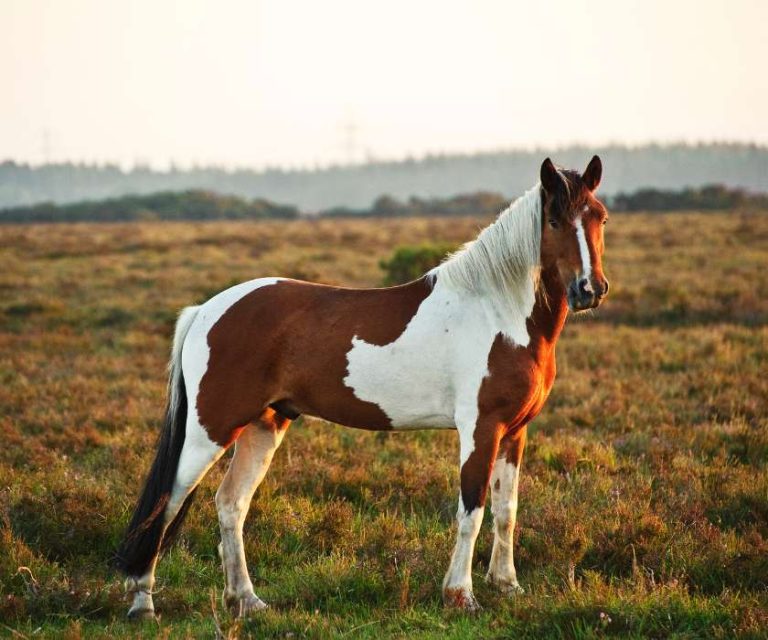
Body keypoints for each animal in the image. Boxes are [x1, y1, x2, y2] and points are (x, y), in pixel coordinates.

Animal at [114, 154, 608, 616]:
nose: (590, 289)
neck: (496, 313)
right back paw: (143, 603)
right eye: (554, 221)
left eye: (600, 217)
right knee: (167, 502)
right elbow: (472, 508)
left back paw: (247, 600)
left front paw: (507, 585)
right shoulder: (480, 429)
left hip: (264, 425)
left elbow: (506, 510)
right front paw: (460, 595)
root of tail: (206, 310)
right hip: (210, 430)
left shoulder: (514, 431)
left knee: (231, 504)